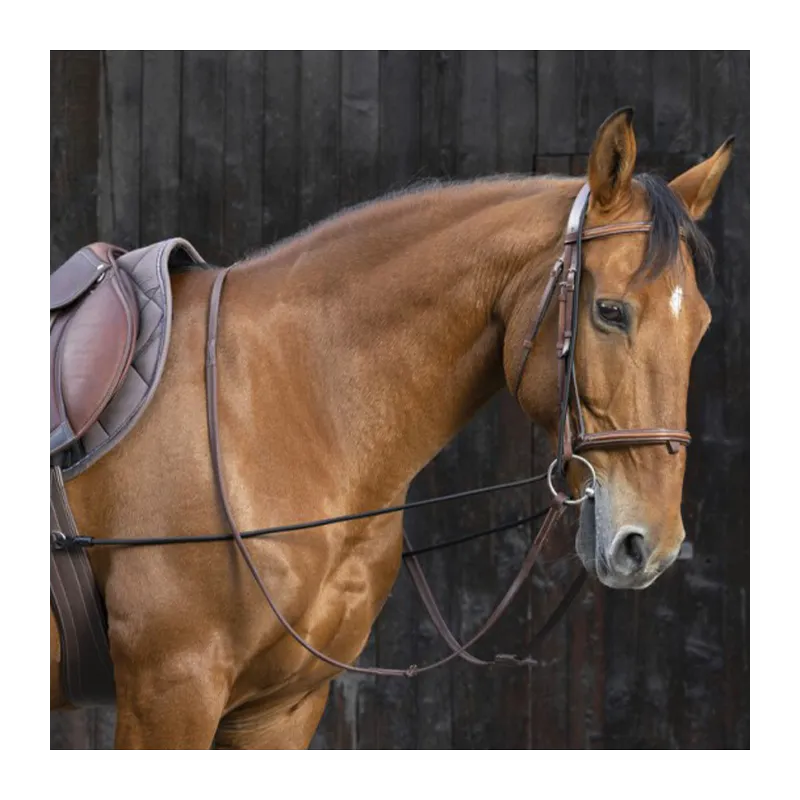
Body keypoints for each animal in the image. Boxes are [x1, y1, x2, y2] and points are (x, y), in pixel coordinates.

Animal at [48, 108, 733, 750]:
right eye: (610, 311)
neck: (284, 403)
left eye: (700, 324)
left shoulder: (280, 710)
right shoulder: (173, 690)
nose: (651, 546)